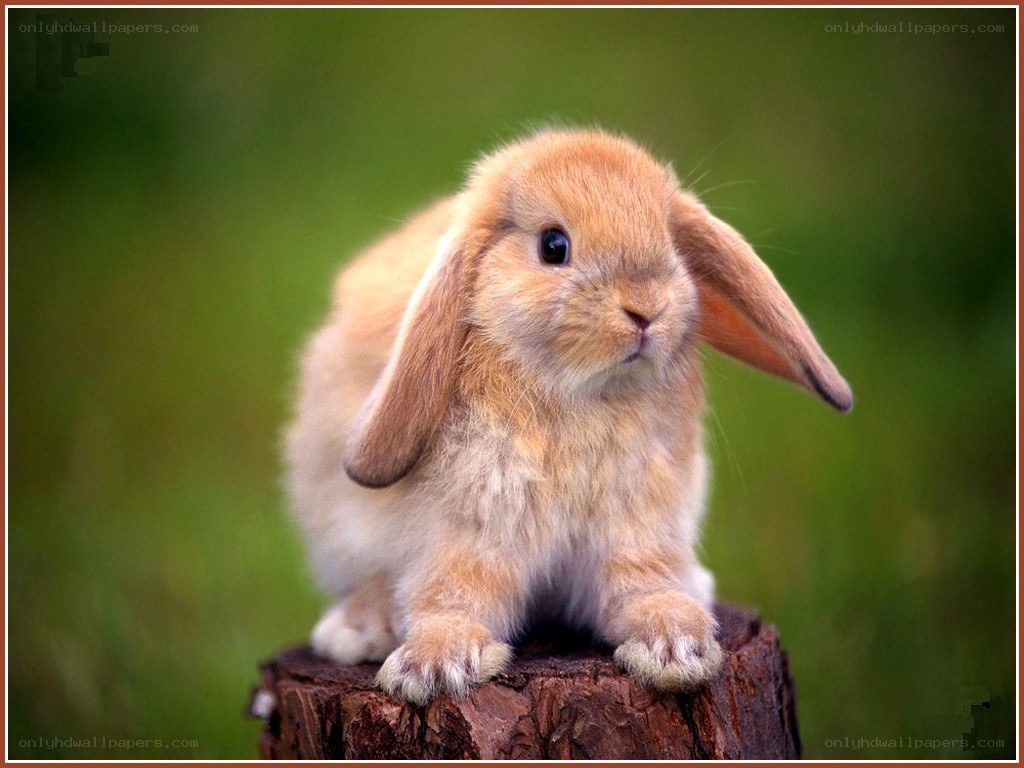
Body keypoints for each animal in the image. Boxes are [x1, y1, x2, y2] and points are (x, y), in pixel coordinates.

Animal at [285, 128, 852, 705]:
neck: (583, 392)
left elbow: (640, 585)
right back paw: (355, 631)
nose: (646, 309)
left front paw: (677, 648)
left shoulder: (638, 524)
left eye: (670, 242)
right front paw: (432, 668)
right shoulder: (470, 528)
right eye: (553, 246)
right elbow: (454, 593)